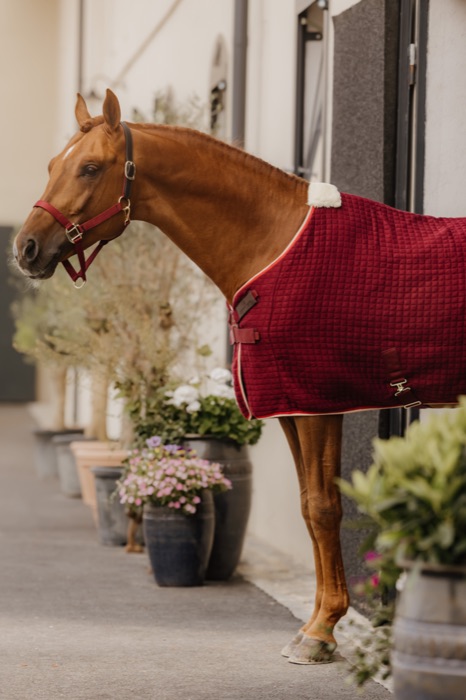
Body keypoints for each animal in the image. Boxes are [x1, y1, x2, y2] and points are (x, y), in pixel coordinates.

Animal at [13, 89, 466, 665]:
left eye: (90, 167)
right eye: (54, 164)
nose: (25, 248)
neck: (274, 243)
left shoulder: (316, 402)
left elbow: (323, 508)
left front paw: (321, 634)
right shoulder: (293, 407)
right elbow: (307, 506)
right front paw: (316, 623)